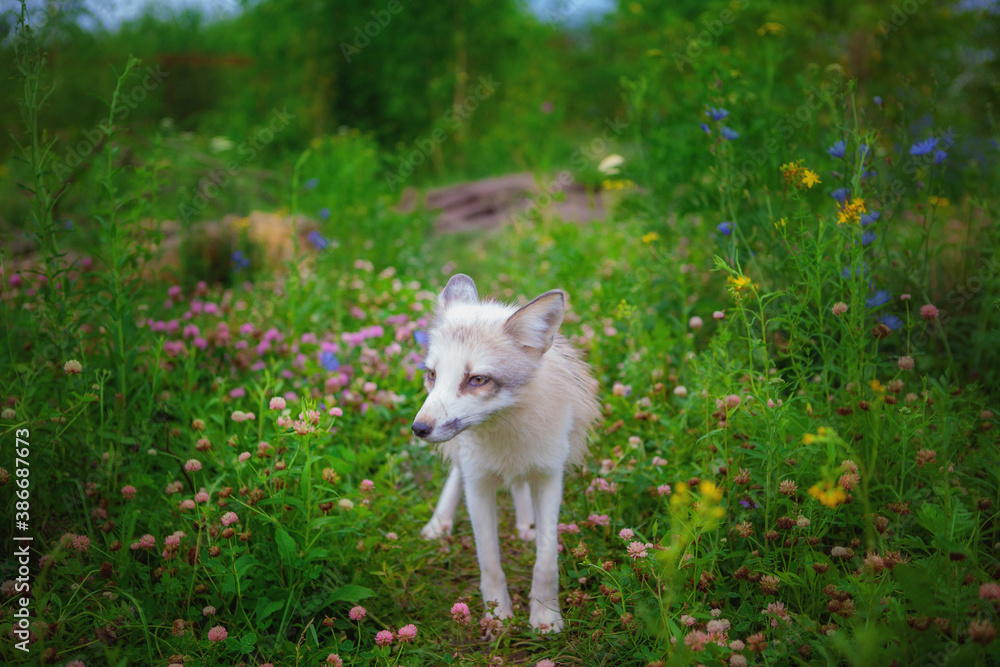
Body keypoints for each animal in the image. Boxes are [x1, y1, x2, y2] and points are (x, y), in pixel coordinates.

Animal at [411, 273, 600, 633]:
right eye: (432, 375)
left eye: (477, 379)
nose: (418, 428)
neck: (506, 433)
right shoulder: (478, 484)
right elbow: (489, 563)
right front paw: (497, 616)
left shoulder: (550, 477)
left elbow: (546, 560)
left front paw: (545, 616)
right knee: (458, 475)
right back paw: (438, 523)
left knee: (519, 485)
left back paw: (525, 523)